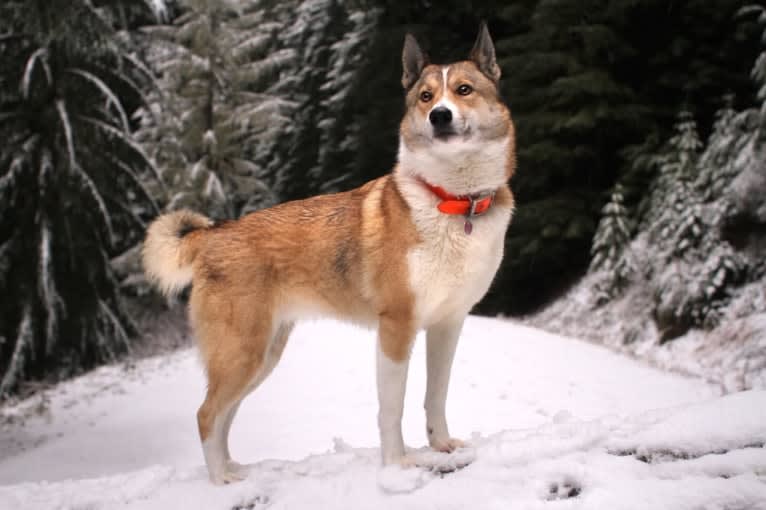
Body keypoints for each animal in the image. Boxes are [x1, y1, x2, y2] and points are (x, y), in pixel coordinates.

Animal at [142, 22, 516, 486]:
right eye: (426, 97)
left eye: (464, 89)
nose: (440, 116)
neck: (450, 201)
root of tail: (214, 234)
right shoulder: (396, 328)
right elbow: (391, 407)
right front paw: (396, 466)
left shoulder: (447, 325)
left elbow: (436, 394)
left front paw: (442, 445)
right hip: (242, 352)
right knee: (206, 414)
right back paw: (220, 481)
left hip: (262, 355)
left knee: (224, 415)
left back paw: (233, 469)